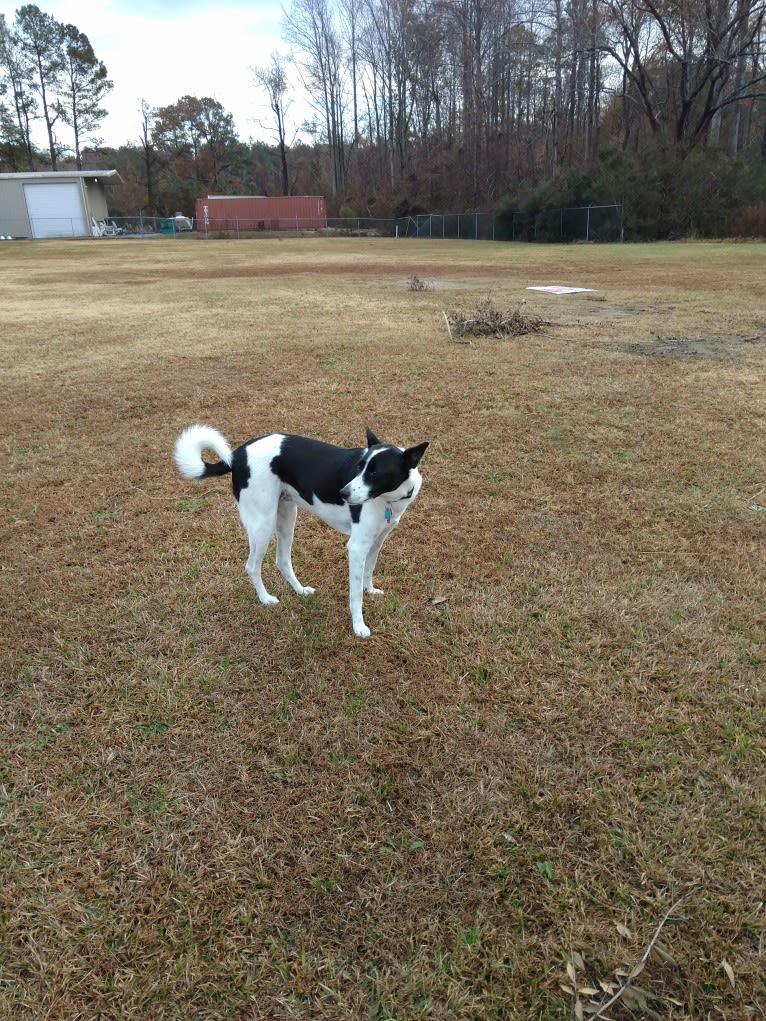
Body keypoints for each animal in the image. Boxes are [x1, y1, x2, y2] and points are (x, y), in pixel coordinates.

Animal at [173, 424, 433, 637]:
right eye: (360, 467)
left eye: (375, 473)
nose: (343, 493)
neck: (388, 498)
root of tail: (237, 455)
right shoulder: (357, 547)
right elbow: (355, 594)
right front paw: (359, 626)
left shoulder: (377, 540)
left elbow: (369, 570)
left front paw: (370, 590)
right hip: (262, 524)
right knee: (252, 566)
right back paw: (265, 599)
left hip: (287, 516)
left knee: (282, 560)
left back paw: (300, 590)